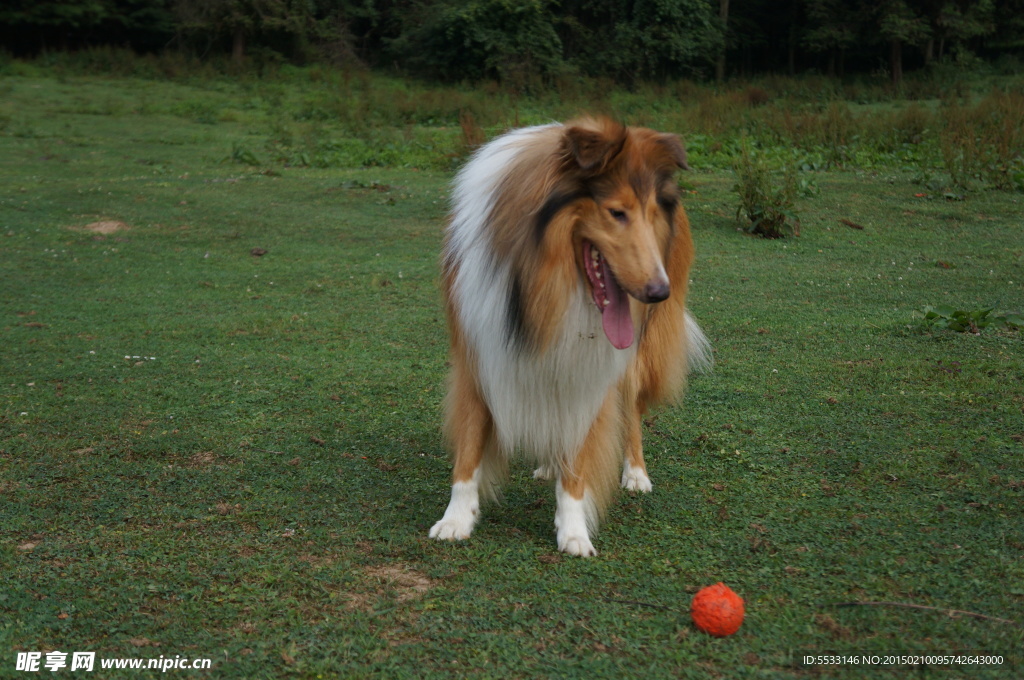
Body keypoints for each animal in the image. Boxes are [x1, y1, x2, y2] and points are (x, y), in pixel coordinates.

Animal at [428, 116, 708, 557]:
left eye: (652, 213)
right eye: (616, 212)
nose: (659, 293)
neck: (541, 284)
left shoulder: (589, 372)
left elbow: (578, 462)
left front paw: (574, 531)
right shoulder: (477, 353)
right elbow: (469, 450)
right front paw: (456, 519)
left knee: (632, 412)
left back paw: (636, 473)